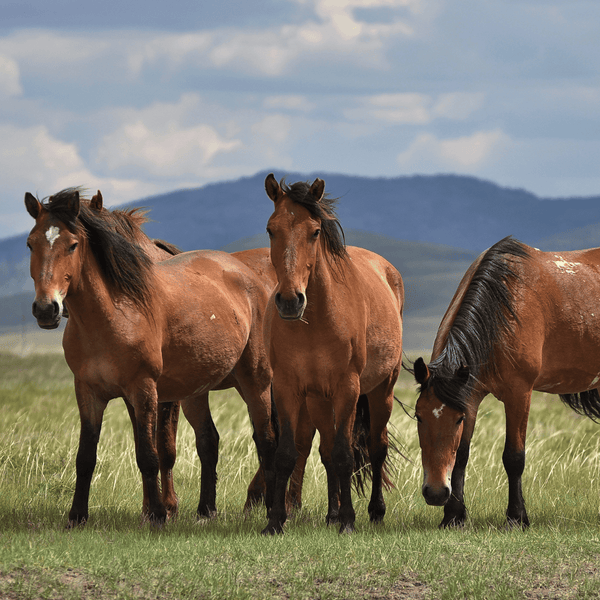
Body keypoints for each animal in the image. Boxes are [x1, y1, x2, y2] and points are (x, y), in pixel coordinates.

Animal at [25, 188, 278, 524]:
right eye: (31, 243)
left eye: (72, 244)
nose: (46, 308)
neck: (112, 315)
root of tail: (250, 277)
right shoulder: (89, 392)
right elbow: (86, 456)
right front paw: (77, 515)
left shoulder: (145, 390)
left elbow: (152, 454)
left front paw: (159, 512)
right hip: (197, 390)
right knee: (210, 441)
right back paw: (206, 509)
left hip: (256, 381)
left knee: (267, 440)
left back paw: (269, 505)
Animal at [262, 173, 404, 536]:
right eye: (271, 229)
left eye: (314, 231)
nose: (290, 301)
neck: (316, 321)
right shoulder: (287, 387)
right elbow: (289, 454)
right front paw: (275, 521)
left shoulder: (347, 388)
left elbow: (345, 455)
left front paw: (349, 521)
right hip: (318, 399)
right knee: (325, 450)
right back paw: (332, 513)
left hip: (380, 389)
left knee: (377, 448)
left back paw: (374, 511)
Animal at [410, 237, 600, 528]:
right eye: (418, 416)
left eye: (457, 419)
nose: (436, 492)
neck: (501, 311)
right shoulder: (470, 398)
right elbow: (461, 455)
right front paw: (454, 516)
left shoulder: (519, 394)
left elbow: (514, 457)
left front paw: (516, 517)